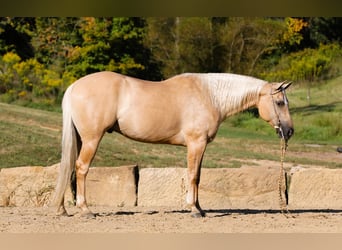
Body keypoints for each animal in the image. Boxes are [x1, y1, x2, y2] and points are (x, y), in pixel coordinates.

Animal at [51, 70, 294, 217]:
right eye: (280, 102)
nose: (289, 131)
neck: (210, 96)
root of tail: (74, 87)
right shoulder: (196, 144)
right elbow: (192, 175)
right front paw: (193, 209)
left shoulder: (201, 146)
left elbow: (198, 177)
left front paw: (199, 208)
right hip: (92, 139)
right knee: (81, 168)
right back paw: (85, 209)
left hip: (80, 139)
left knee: (68, 167)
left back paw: (62, 209)